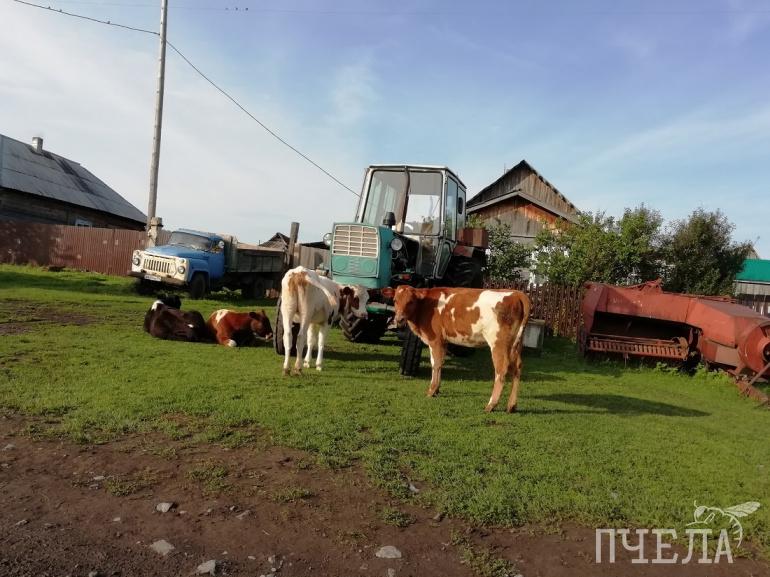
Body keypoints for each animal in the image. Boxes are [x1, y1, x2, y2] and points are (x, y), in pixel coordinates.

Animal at [389, 286, 531, 413]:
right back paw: (511, 406)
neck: (425, 305)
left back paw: (491, 405)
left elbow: (435, 364)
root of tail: (516, 293)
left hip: (498, 343)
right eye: (395, 300)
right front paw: (437, 389)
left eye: (410, 301)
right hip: (516, 344)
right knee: (517, 368)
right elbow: (440, 363)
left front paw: (431, 390)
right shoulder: (443, 341)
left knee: (501, 369)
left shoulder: (435, 340)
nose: (399, 319)